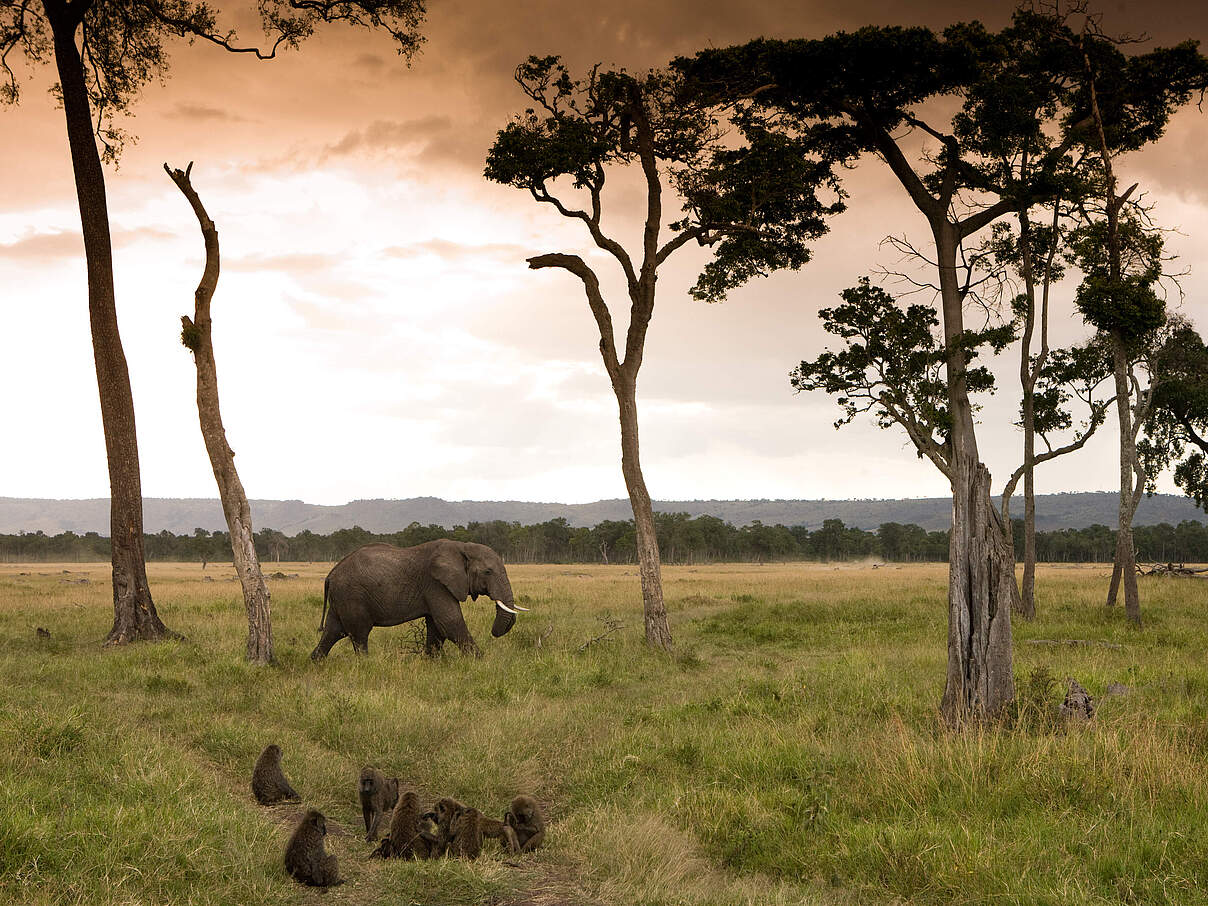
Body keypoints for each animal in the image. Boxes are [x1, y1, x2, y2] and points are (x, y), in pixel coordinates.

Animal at [309, 538, 526, 661]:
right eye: (488, 572)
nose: (494, 632)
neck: (463, 547)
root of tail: (331, 574)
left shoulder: (435, 588)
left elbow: (437, 627)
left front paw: (431, 662)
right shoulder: (436, 584)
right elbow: (450, 622)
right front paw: (480, 662)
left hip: (341, 598)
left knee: (334, 631)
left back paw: (315, 662)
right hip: (352, 596)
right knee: (358, 633)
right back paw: (365, 665)